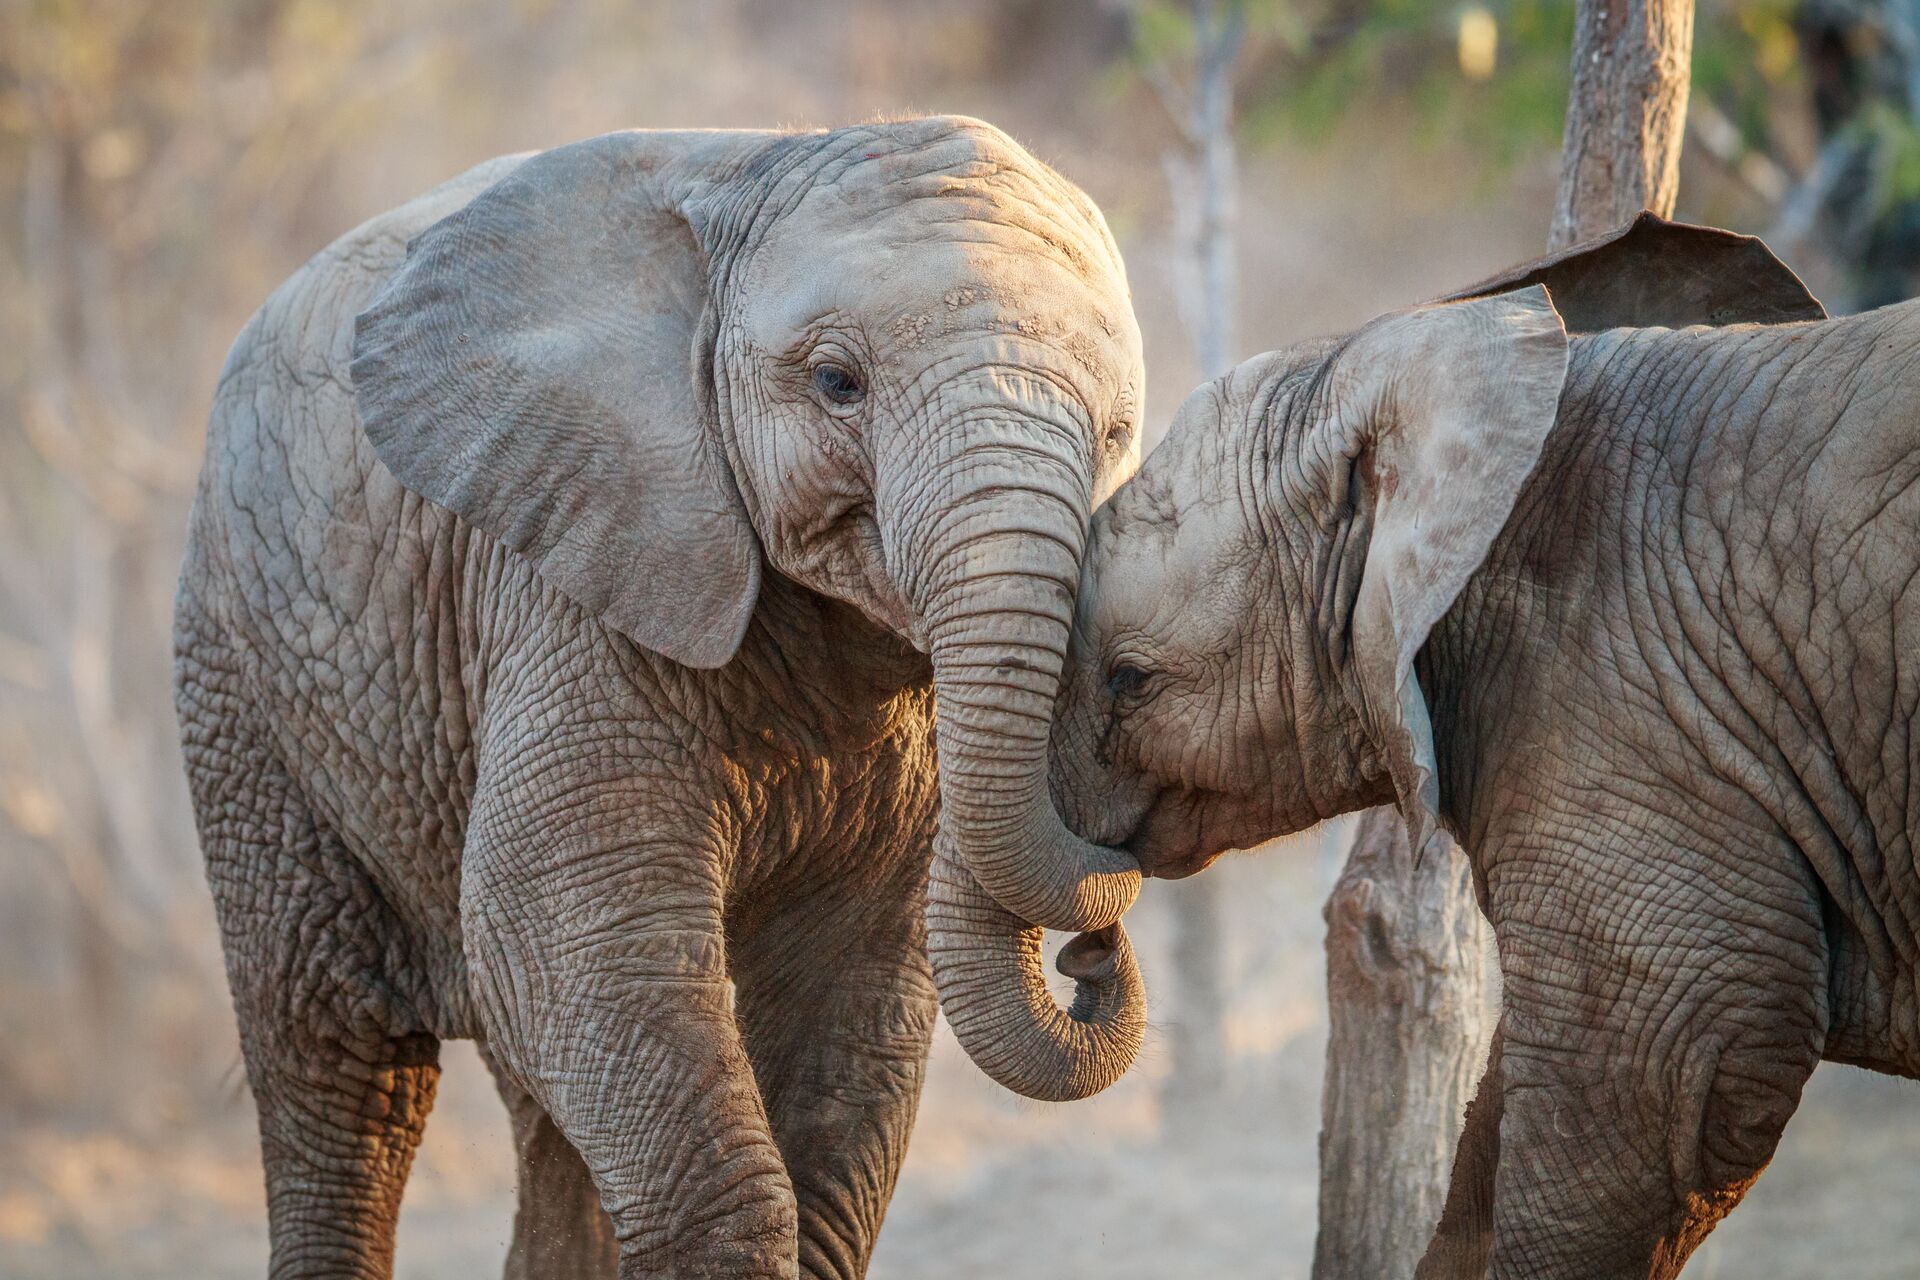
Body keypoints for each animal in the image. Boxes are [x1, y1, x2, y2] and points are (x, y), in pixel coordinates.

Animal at [172, 116, 1151, 1280]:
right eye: (838, 382)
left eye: (1115, 434)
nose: (1094, 955)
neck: (763, 164)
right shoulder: (571, 579)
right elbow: (563, 931)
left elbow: (848, 988)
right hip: (239, 676)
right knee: (335, 1056)